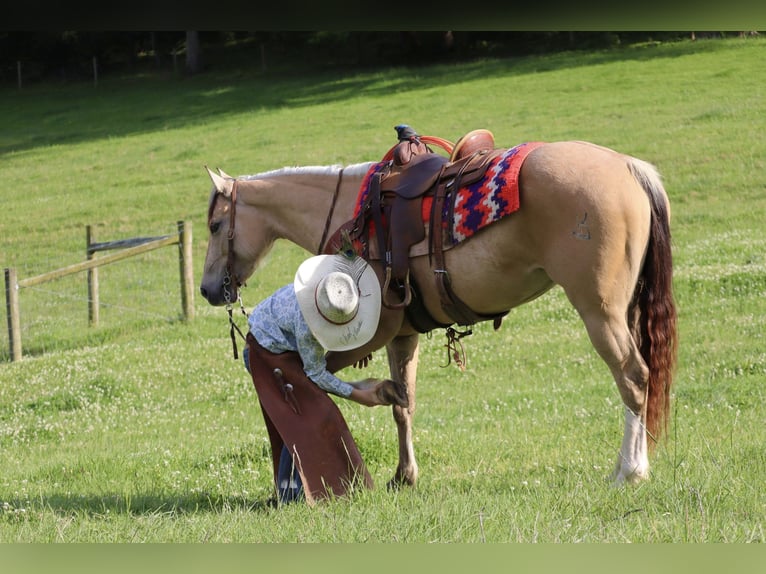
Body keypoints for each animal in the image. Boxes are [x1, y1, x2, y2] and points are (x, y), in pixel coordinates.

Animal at [198, 134, 680, 486]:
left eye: (216, 225)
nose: (207, 289)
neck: (348, 215)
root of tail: (629, 167)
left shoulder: (368, 331)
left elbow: (314, 376)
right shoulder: (402, 333)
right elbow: (404, 404)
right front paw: (404, 474)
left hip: (600, 312)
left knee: (633, 378)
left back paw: (629, 471)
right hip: (625, 310)